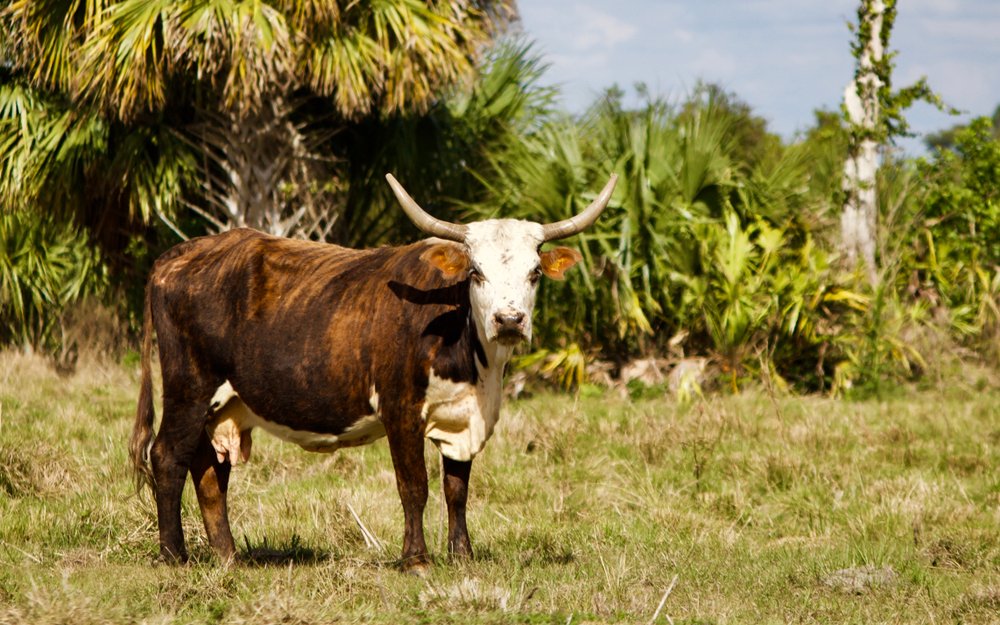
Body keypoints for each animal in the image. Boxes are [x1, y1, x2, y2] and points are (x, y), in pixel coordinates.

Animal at [131, 172, 616, 572]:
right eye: (476, 272)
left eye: (535, 273)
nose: (510, 320)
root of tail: (179, 253)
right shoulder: (401, 410)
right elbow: (414, 486)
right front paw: (416, 560)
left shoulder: (464, 418)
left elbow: (456, 489)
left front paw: (462, 556)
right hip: (189, 388)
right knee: (168, 457)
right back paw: (174, 555)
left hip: (222, 403)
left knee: (209, 469)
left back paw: (227, 557)